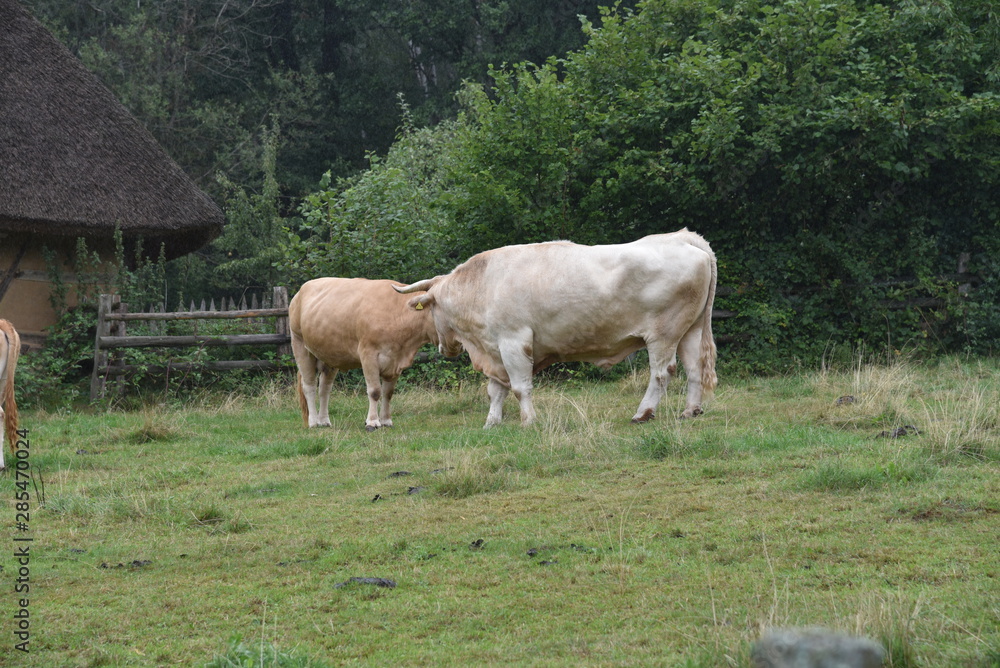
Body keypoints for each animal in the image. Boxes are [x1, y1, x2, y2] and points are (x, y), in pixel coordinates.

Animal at [289, 277, 438, 432]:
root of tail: (300, 292)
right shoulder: (368, 354)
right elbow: (375, 391)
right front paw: (372, 422)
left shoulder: (395, 362)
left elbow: (388, 393)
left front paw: (386, 421)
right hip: (300, 345)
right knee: (309, 386)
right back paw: (313, 422)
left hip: (329, 355)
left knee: (324, 389)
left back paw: (323, 421)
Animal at [394, 229, 717, 427]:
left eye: (431, 309)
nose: (442, 348)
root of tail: (682, 238)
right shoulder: (495, 350)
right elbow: (495, 390)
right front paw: (492, 422)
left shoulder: (513, 342)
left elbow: (520, 387)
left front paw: (528, 420)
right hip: (690, 329)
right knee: (694, 369)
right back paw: (690, 410)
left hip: (663, 334)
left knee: (662, 373)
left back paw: (643, 413)